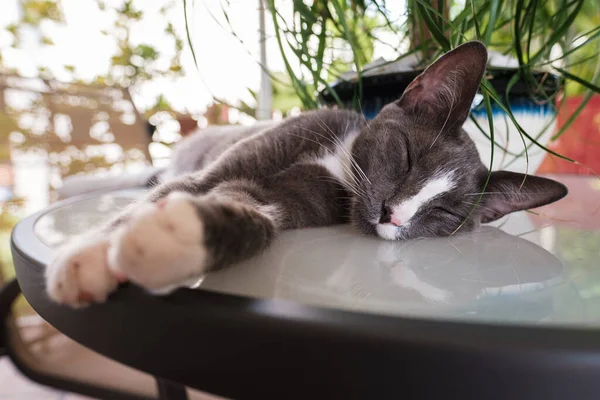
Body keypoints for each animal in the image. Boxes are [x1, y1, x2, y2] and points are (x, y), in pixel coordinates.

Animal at [45, 41, 568, 306]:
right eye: (405, 156)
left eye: (445, 214)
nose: (392, 214)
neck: (339, 165)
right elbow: (181, 189)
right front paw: (86, 260)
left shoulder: (297, 201)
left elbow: (255, 217)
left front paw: (175, 240)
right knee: (154, 176)